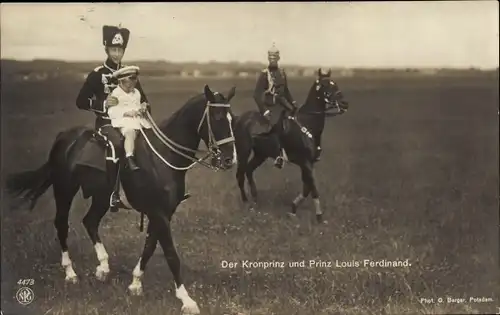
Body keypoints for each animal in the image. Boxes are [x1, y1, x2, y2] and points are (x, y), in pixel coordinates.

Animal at [5, 84, 236, 315]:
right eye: (216, 117)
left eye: (232, 118)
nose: (229, 159)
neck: (162, 157)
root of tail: (64, 136)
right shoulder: (159, 213)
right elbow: (171, 254)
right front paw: (186, 300)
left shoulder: (162, 213)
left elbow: (150, 246)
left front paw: (135, 284)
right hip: (64, 190)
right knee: (62, 224)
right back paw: (70, 273)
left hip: (101, 196)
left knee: (89, 221)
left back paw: (103, 267)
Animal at [233, 69, 348, 225]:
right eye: (325, 85)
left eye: (334, 83)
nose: (344, 104)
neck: (307, 124)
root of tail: (240, 118)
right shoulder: (305, 163)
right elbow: (313, 188)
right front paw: (319, 216)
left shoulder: (308, 163)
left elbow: (307, 188)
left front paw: (293, 209)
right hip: (243, 152)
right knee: (240, 175)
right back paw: (246, 202)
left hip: (260, 154)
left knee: (249, 170)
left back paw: (255, 199)